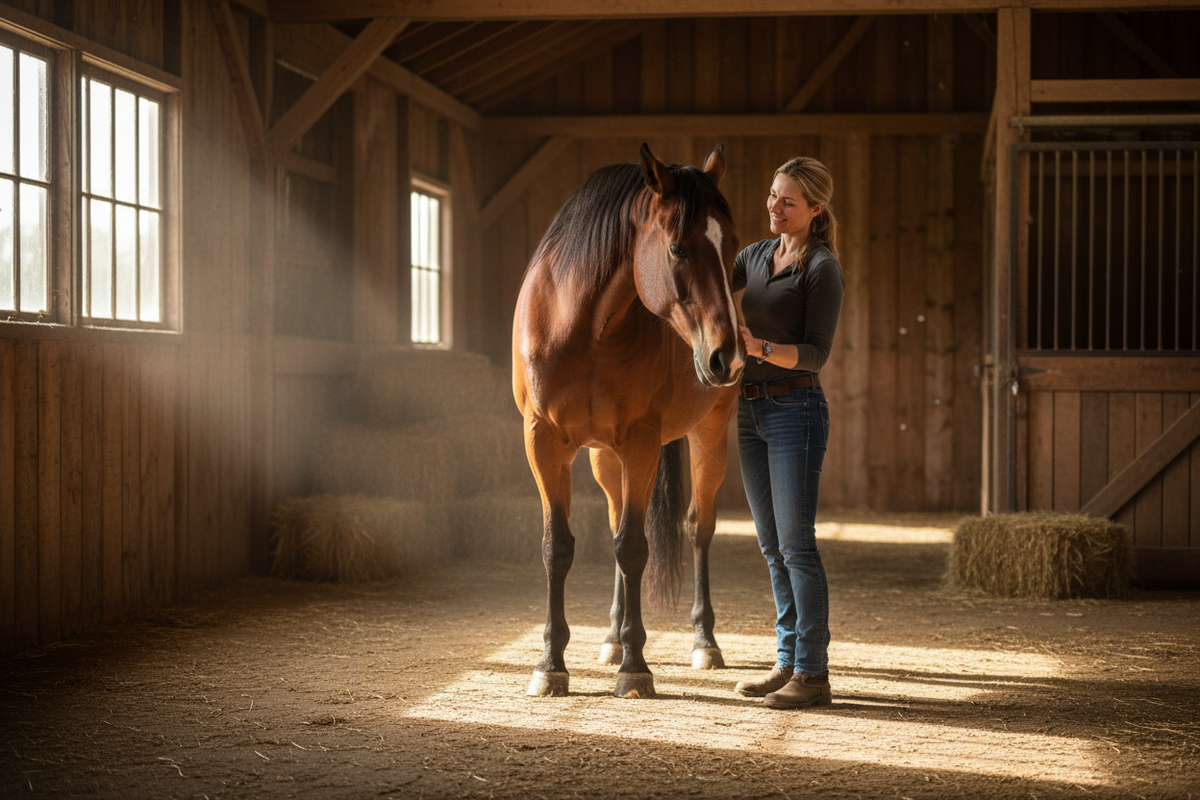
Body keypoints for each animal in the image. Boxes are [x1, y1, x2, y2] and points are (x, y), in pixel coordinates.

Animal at [512, 143, 743, 698]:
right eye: (678, 248)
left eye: (732, 248)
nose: (728, 358)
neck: (582, 326)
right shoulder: (543, 441)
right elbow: (558, 547)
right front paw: (550, 664)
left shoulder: (641, 443)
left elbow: (633, 548)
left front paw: (636, 667)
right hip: (602, 457)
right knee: (618, 518)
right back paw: (612, 637)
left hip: (708, 435)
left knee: (698, 527)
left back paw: (704, 642)